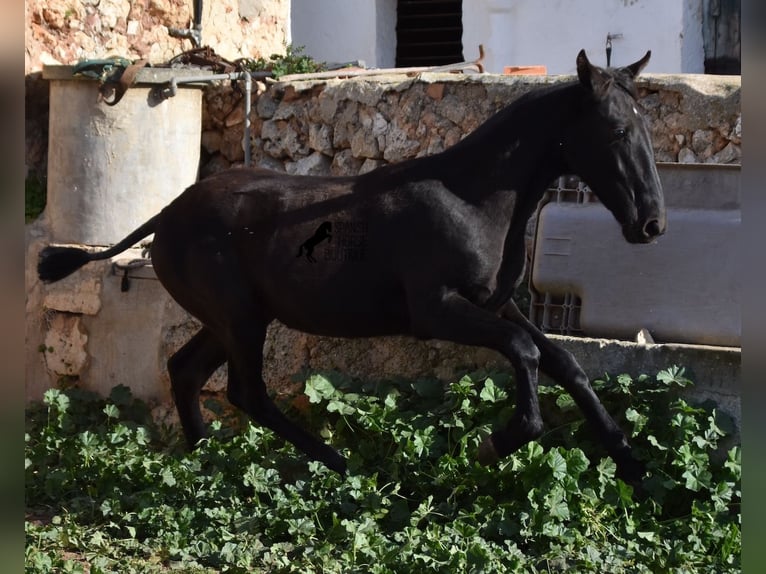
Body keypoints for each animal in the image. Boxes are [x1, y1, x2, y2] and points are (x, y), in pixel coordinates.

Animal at [40, 50, 664, 486]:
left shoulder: (494, 301)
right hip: (240, 319)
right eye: (616, 131)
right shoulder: (436, 311)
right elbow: (527, 351)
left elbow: (563, 361)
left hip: (230, 319)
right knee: (246, 392)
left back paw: (205, 461)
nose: (652, 223)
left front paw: (632, 463)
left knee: (187, 370)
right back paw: (337, 463)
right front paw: (500, 441)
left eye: (646, 127)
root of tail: (163, 217)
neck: (473, 197)